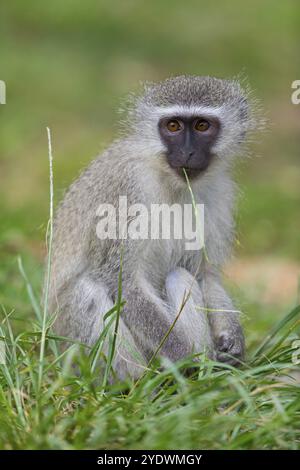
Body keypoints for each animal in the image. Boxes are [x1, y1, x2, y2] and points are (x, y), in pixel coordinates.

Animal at [47, 75, 255, 380]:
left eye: (202, 126)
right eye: (173, 126)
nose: (187, 152)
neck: (172, 181)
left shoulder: (220, 193)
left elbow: (204, 274)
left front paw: (233, 337)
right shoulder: (126, 190)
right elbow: (123, 282)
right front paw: (183, 356)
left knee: (180, 274)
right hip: (69, 346)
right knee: (87, 290)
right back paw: (137, 384)